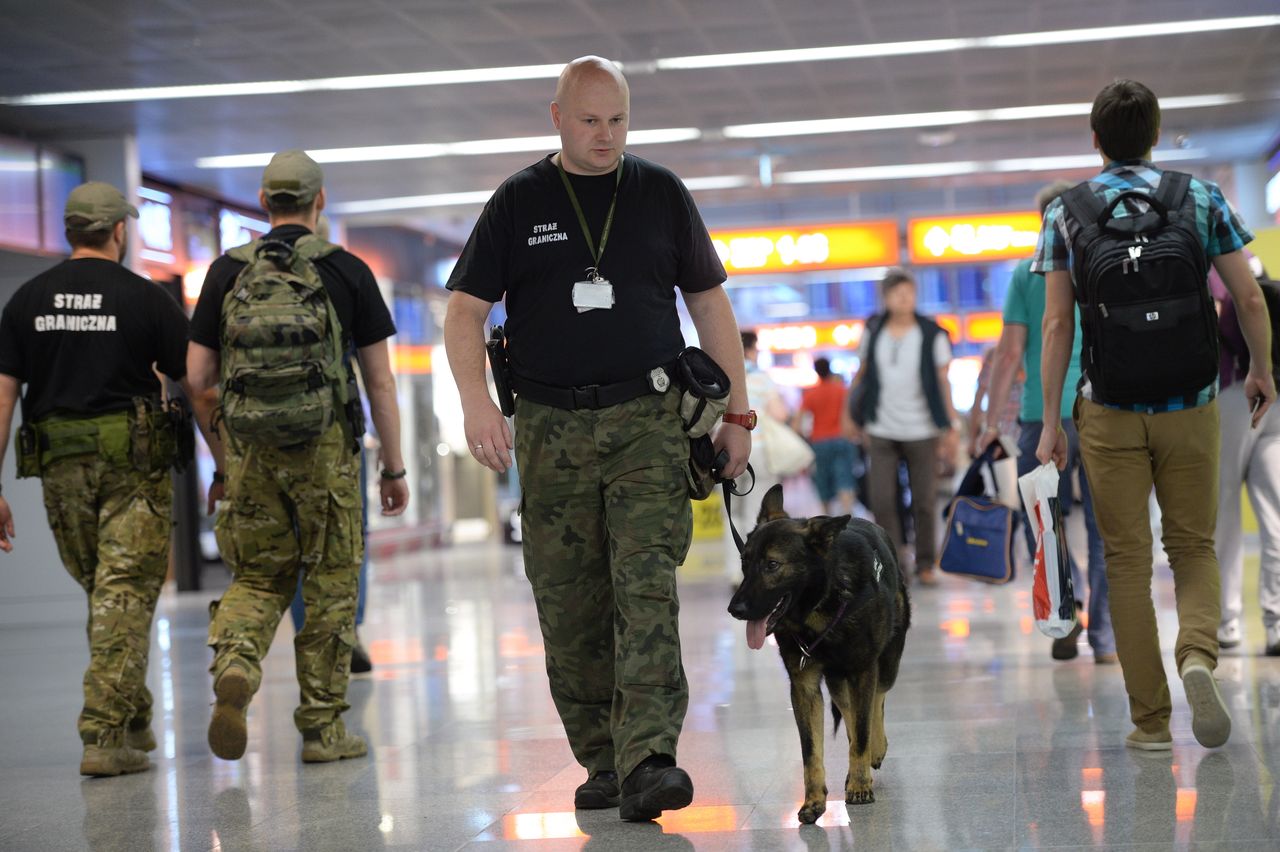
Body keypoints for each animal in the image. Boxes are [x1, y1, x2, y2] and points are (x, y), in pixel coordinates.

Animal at [732, 481, 911, 818]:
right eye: (744, 563)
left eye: (772, 565)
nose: (735, 609)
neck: (821, 606)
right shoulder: (804, 686)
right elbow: (812, 750)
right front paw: (814, 800)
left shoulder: (862, 670)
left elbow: (864, 729)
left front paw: (860, 785)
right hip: (838, 682)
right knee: (851, 714)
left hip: (885, 665)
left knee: (877, 700)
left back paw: (875, 751)